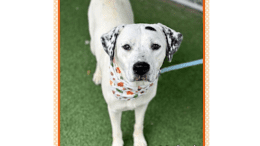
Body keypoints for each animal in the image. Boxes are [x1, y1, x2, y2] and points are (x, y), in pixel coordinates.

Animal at [87, 0, 183, 146]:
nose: (141, 67)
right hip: (93, 43)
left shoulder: (142, 106)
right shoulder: (113, 110)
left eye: (155, 46)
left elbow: (138, 124)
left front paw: (139, 140)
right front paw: (118, 143)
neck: (132, 90)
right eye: (126, 46)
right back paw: (98, 74)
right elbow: (117, 131)